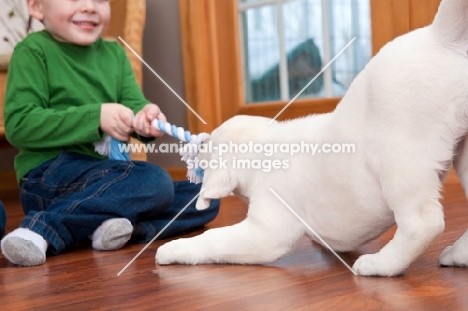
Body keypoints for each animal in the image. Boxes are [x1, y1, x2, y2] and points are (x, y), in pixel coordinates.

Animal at [155, 0, 468, 278]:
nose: (199, 143)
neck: (264, 144)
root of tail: (438, 35)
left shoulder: (266, 231)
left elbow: (214, 240)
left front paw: (173, 249)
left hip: (397, 156)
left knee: (423, 223)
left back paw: (382, 265)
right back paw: (458, 255)